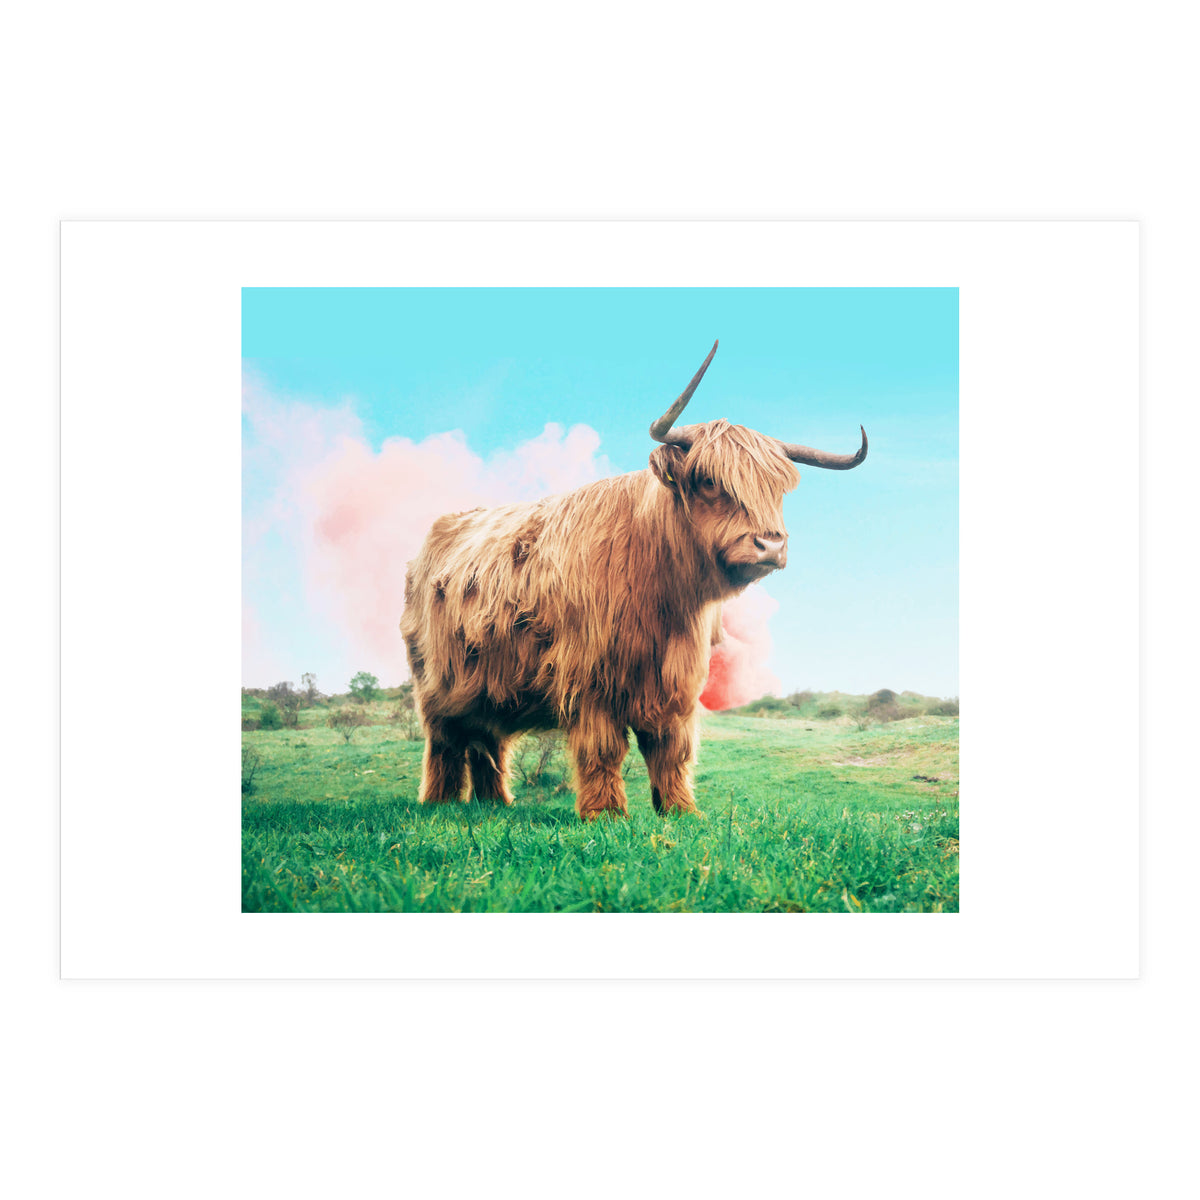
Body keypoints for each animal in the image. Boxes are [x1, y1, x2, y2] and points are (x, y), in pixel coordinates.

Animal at [400, 341, 867, 819]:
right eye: (709, 481)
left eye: (777, 490)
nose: (770, 545)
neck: (662, 594)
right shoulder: (590, 677)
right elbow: (603, 749)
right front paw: (605, 814)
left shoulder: (676, 681)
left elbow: (671, 749)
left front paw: (680, 810)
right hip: (436, 684)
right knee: (445, 741)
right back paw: (439, 802)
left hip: (487, 685)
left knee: (486, 740)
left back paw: (494, 803)